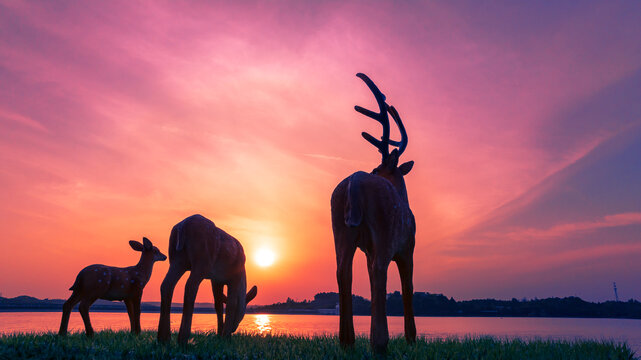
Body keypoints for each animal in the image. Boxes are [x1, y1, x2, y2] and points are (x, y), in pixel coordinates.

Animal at [158, 214, 258, 344]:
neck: (243, 277)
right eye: (244, 312)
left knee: (166, 285)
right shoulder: (234, 278)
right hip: (202, 261)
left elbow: (218, 305)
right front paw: (226, 337)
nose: (233, 329)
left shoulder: (216, 280)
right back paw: (183, 338)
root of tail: (182, 226)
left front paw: (219, 334)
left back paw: (163, 338)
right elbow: (231, 303)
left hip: (176, 259)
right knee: (190, 286)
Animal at [330, 72, 416, 352]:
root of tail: (355, 180)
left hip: (340, 228)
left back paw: (347, 340)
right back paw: (379, 342)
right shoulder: (408, 247)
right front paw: (412, 338)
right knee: (380, 270)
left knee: (342, 271)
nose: (371, 170)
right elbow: (407, 286)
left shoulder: (367, 249)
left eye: (377, 168)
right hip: (384, 230)